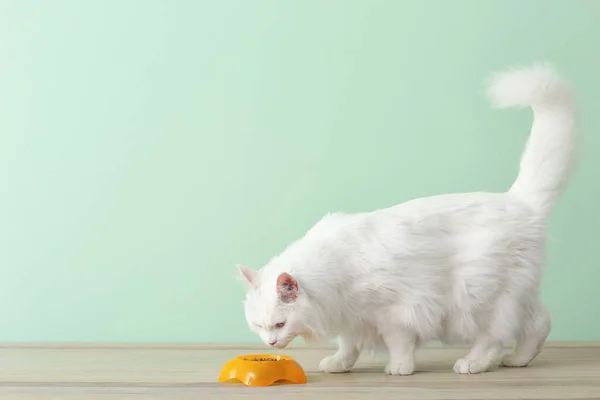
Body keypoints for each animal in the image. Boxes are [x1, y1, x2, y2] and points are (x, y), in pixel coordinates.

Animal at [234, 62, 576, 376]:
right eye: (259, 326)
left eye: (280, 324)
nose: (270, 344)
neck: (332, 277)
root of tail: (519, 200)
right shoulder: (352, 316)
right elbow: (348, 344)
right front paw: (339, 364)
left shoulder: (397, 310)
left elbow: (398, 342)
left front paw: (399, 368)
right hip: (517, 294)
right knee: (538, 322)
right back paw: (519, 359)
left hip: (477, 297)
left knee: (494, 336)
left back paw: (472, 363)